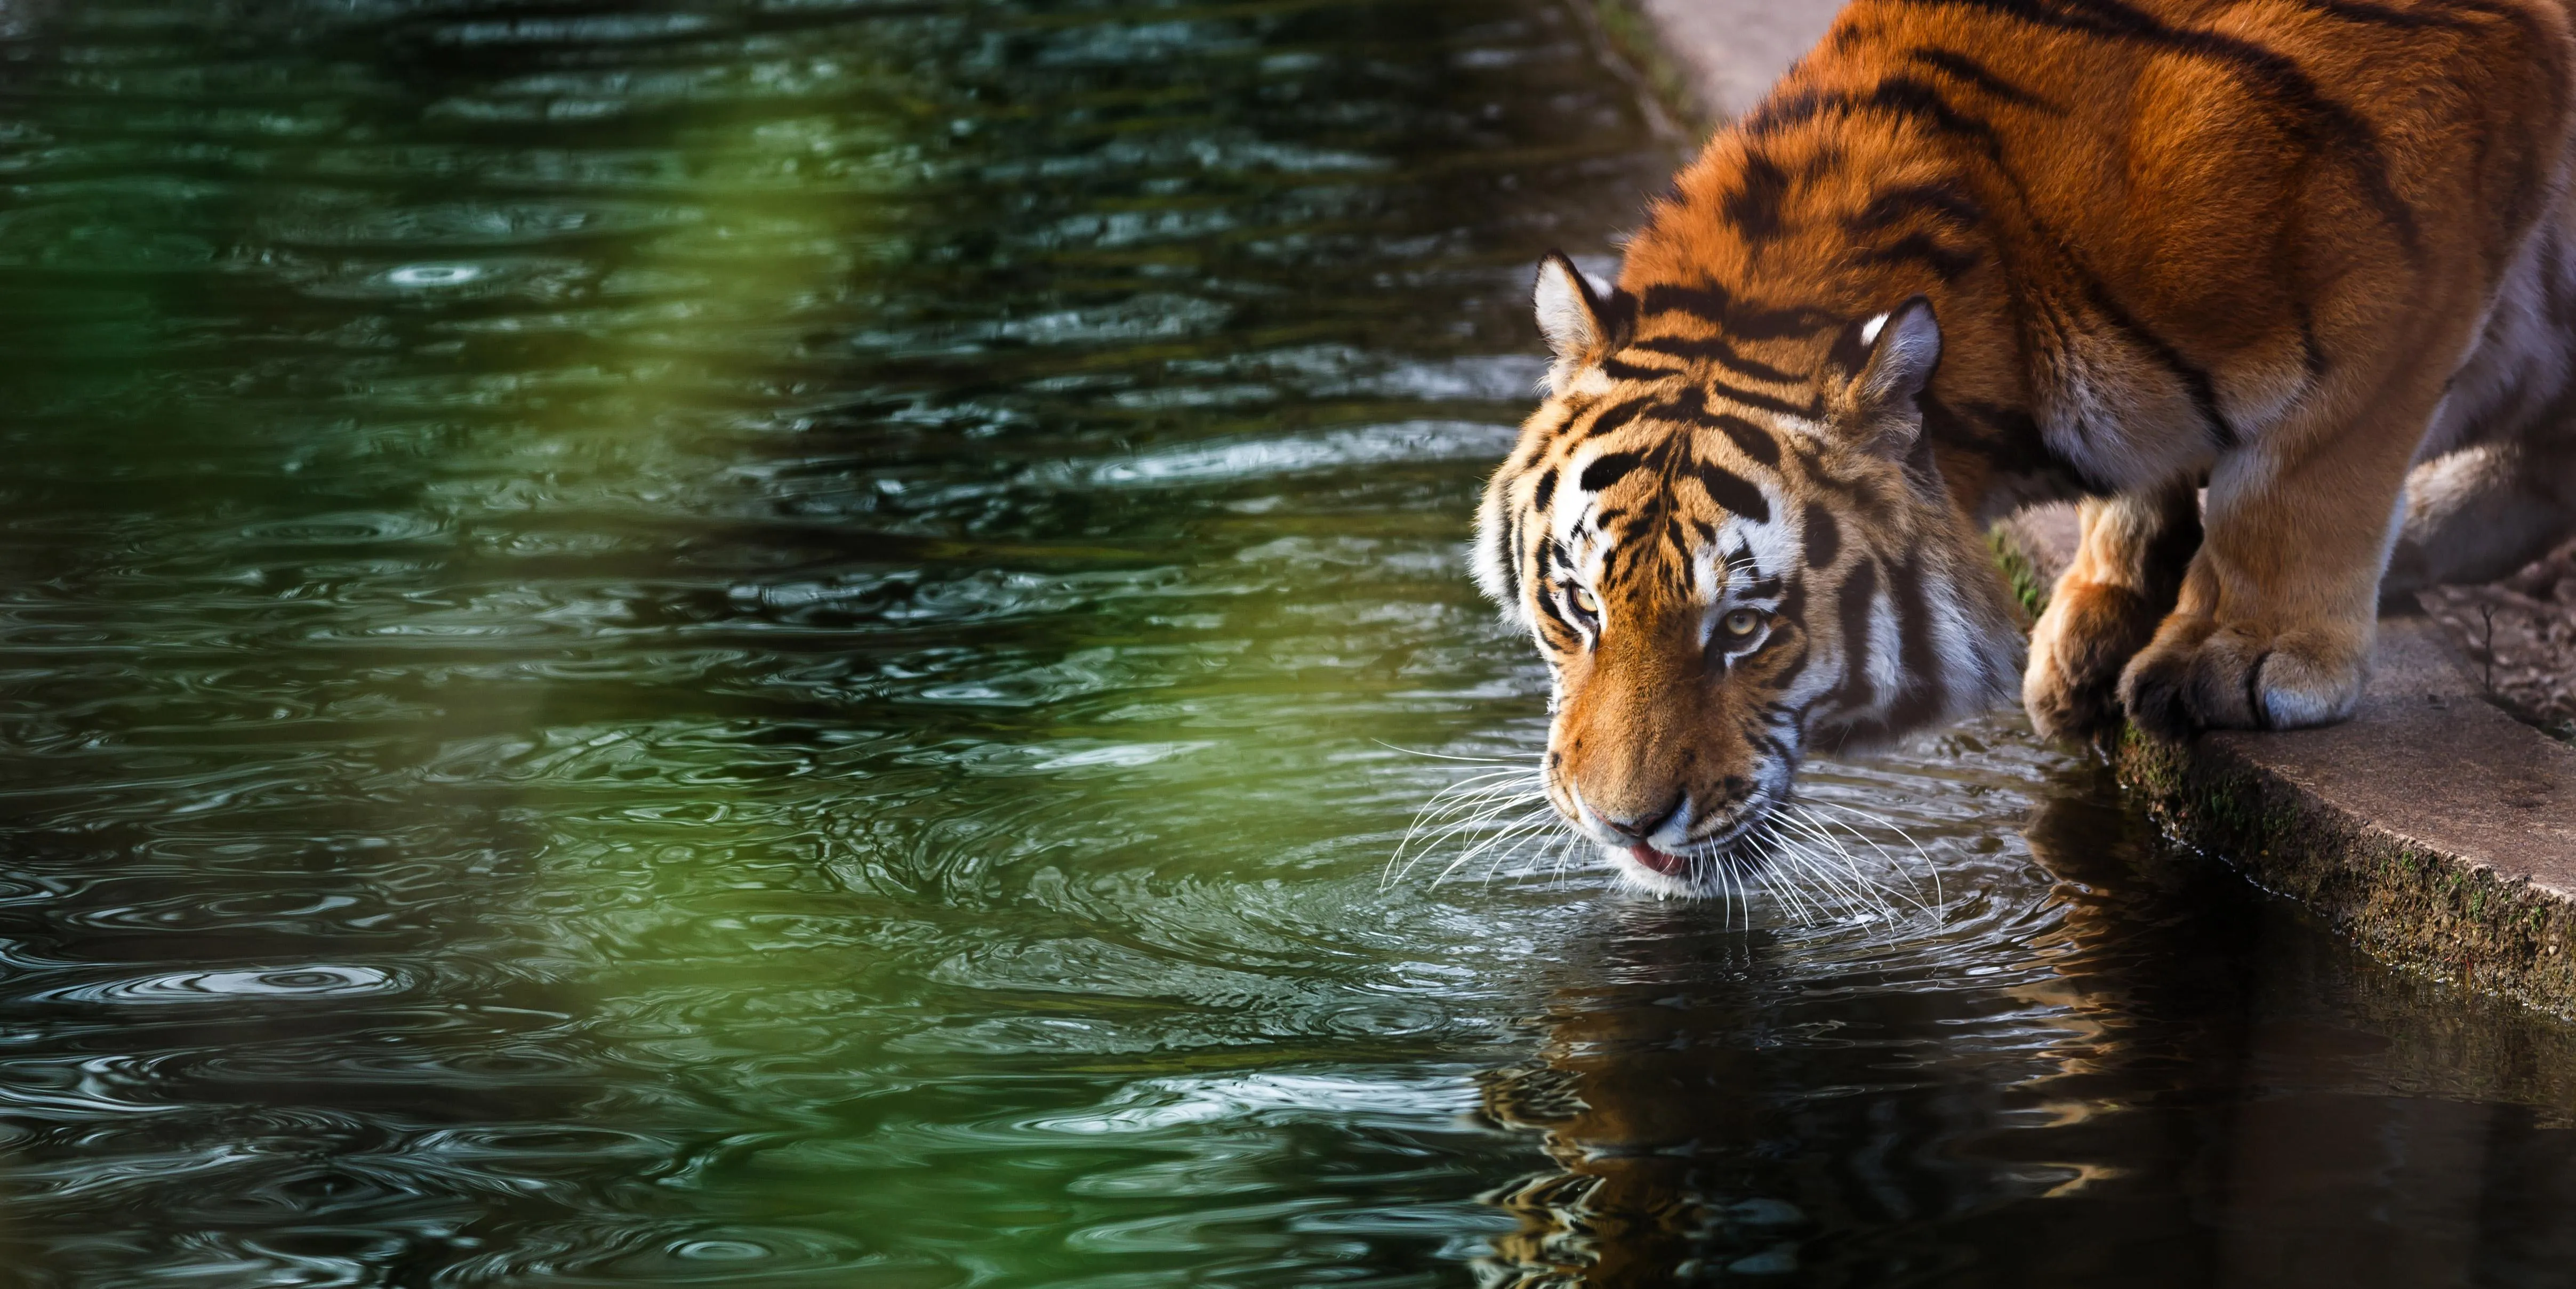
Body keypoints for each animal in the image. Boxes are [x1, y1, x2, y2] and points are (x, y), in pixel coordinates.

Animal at [1475, 0, 2576, 895]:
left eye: (1745, 626)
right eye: (1578, 606)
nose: (1623, 826)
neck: (2005, 264)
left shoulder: (2420, 235)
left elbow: (2304, 472)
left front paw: (2242, 649)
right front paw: (2097, 621)